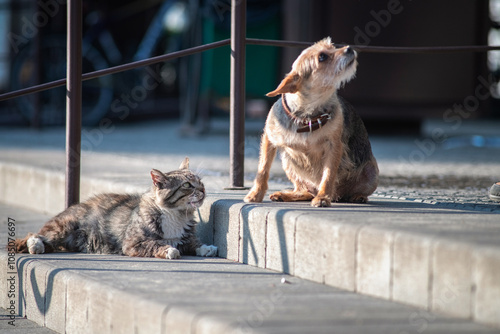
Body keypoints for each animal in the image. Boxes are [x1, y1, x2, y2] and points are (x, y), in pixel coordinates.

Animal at [13, 158, 217, 260]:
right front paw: (170, 250)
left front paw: (206, 248)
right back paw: (36, 245)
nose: (203, 190)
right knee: (35, 234)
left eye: (200, 182)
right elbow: (157, 244)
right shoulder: (133, 243)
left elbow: (194, 243)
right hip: (62, 228)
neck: (176, 215)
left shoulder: (186, 238)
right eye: (187, 185)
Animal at [243, 37, 378, 207]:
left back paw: (356, 196)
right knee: (304, 190)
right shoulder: (269, 139)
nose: (349, 48)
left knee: (354, 190)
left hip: (371, 171)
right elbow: (263, 169)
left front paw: (322, 198)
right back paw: (286, 195)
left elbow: (328, 175)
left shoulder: (334, 146)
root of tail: (338, 196)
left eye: (333, 47)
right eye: (322, 57)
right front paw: (255, 194)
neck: (307, 116)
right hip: (288, 162)